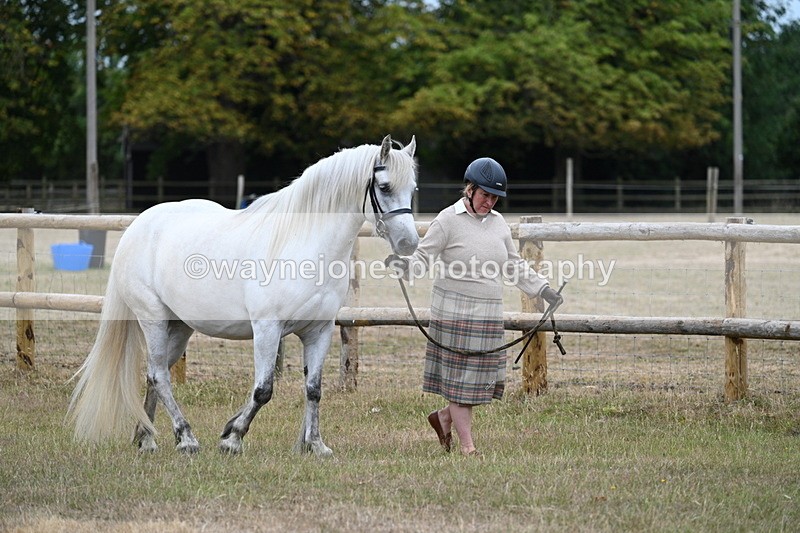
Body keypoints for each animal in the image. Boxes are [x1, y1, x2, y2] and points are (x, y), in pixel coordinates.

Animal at [67, 135, 418, 456]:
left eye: (413, 189)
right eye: (384, 186)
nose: (409, 243)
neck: (301, 243)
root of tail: (139, 225)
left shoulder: (318, 331)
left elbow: (313, 389)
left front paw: (316, 446)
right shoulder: (267, 329)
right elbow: (263, 390)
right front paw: (232, 438)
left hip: (178, 326)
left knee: (156, 374)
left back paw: (147, 439)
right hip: (151, 318)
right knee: (159, 375)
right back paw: (186, 439)